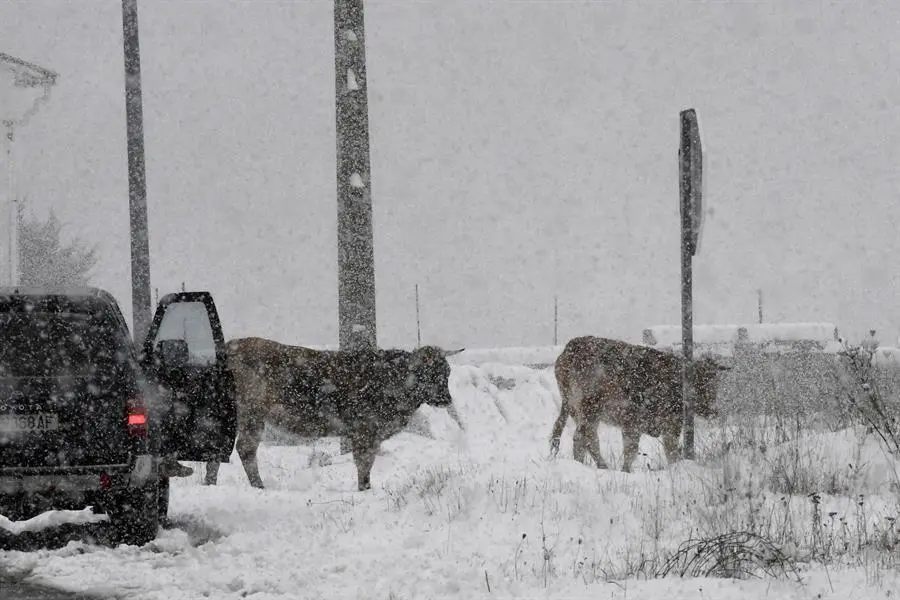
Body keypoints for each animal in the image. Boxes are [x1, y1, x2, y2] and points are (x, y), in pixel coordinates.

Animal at [203, 337, 462, 491]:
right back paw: (258, 487)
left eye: (447, 371)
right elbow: (364, 463)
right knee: (246, 449)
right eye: (426, 372)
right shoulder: (365, 430)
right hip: (251, 413)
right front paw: (364, 490)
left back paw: (210, 484)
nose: (445, 399)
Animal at [548, 335, 729, 472]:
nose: (714, 410)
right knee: (586, 439)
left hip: (579, 411)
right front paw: (626, 471)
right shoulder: (642, 423)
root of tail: (574, 344)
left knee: (582, 439)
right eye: (700, 384)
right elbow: (636, 450)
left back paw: (583, 464)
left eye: (715, 383)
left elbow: (668, 451)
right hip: (589, 410)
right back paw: (601, 466)